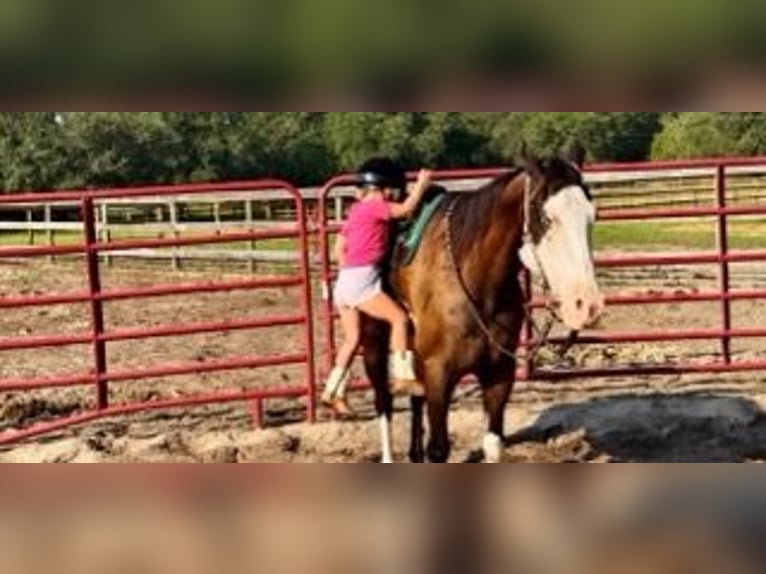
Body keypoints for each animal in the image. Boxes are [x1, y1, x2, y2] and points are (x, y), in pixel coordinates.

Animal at [362, 144, 604, 463]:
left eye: (591, 216)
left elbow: (493, 443)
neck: (477, 285)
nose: (587, 306)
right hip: (374, 343)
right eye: (547, 218)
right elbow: (438, 448)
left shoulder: (499, 372)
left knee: (414, 398)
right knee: (384, 402)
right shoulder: (439, 375)